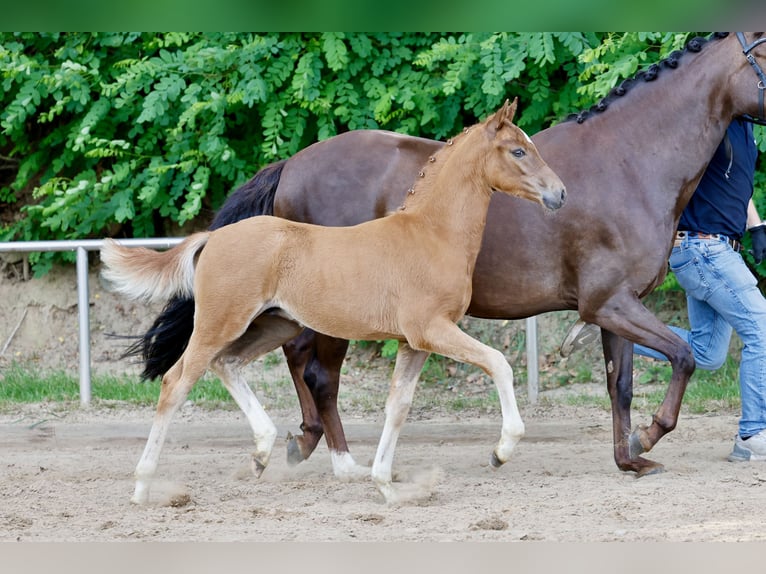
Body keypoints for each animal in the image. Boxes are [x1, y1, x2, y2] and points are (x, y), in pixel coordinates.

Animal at [102, 99, 567, 504]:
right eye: (519, 150)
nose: (559, 194)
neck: (431, 235)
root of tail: (212, 237)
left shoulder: (413, 343)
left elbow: (398, 406)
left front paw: (387, 487)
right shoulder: (432, 330)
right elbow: (498, 363)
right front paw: (501, 451)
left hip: (274, 323)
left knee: (226, 363)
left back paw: (264, 451)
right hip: (220, 322)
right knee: (176, 382)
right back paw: (143, 487)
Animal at [127, 32, 766, 479]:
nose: (557, 196)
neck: (629, 160)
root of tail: (293, 165)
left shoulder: (616, 308)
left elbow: (622, 384)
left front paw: (631, 457)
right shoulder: (610, 304)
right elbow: (683, 357)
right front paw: (648, 437)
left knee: (295, 362)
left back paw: (302, 442)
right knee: (315, 372)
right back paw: (337, 459)